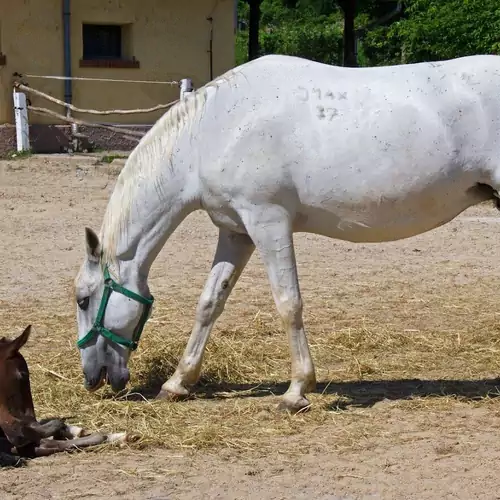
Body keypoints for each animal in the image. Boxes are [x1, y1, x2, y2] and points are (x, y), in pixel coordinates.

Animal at [74, 54, 500, 412]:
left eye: (83, 300)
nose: (92, 378)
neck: (212, 130)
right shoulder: (236, 232)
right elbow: (210, 302)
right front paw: (177, 383)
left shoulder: (268, 222)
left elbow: (288, 303)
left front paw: (296, 391)